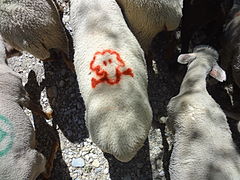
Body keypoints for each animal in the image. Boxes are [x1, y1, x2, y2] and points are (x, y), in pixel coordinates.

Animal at [0, 36, 57, 180]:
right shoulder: (20, 94)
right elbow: (36, 109)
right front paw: (49, 114)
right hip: (33, 161)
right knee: (46, 172)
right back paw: (54, 144)